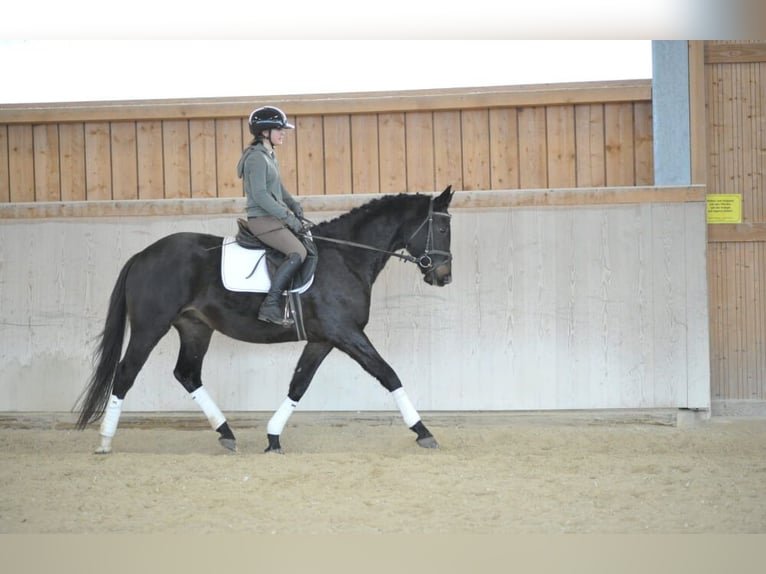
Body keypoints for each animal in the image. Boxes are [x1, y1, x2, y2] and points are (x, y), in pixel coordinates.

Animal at [72, 187, 456, 456]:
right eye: (440, 227)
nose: (444, 277)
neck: (347, 256)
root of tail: (143, 254)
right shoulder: (346, 334)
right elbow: (388, 374)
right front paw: (424, 432)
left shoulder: (323, 339)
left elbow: (298, 385)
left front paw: (272, 437)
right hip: (150, 327)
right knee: (126, 373)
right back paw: (105, 441)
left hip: (195, 327)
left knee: (187, 374)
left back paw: (227, 434)